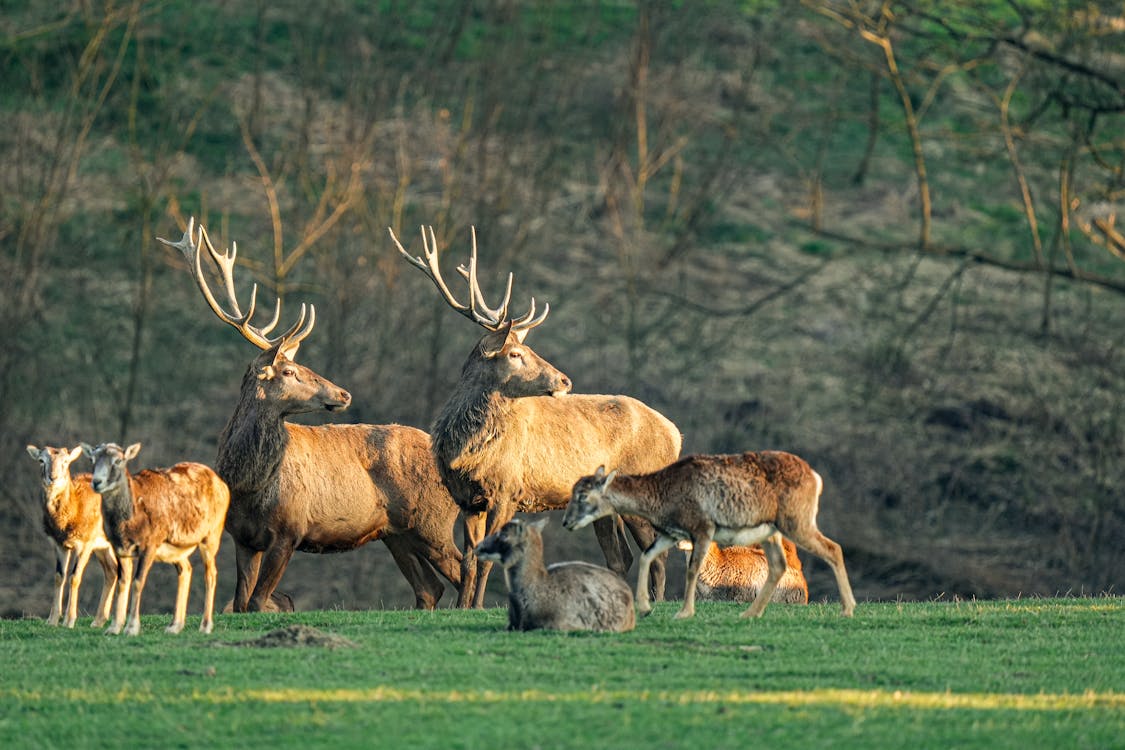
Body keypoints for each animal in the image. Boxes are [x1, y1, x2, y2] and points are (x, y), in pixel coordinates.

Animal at [25, 445, 118, 628]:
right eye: (41, 460)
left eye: (66, 461)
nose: (52, 477)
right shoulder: (59, 544)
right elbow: (59, 576)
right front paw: (52, 620)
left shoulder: (86, 542)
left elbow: (75, 577)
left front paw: (69, 621)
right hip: (103, 546)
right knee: (113, 571)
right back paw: (98, 621)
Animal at [82, 442, 229, 635]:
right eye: (92, 459)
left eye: (118, 460)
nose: (97, 482)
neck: (128, 522)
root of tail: (223, 486)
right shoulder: (119, 548)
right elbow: (122, 582)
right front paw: (114, 628)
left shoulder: (149, 545)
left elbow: (138, 581)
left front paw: (132, 628)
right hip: (175, 550)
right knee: (186, 569)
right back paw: (174, 626)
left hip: (211, 536)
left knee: (210, 574)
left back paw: (205, 626)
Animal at [159, 219, 462, 612]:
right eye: (290, 371)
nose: (344, 393)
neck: (249, 487)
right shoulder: (242, 537)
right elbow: (241, 602)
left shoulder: (290, 529)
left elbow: (257, 602)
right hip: (396, 533)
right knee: (429, 588)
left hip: (432, 521)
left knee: (466, 567)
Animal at [390, 225, 682, 608]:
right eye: (515, 353)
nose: (564, 380)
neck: (467, 453)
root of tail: (675, 433)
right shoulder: (469, 500)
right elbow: (469, 559)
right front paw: (461, 607)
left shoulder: (507, 490)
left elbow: (491, 558)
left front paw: (478, 606)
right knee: (622, 556)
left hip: (643, 484)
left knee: (657, 551)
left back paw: (654, 604)